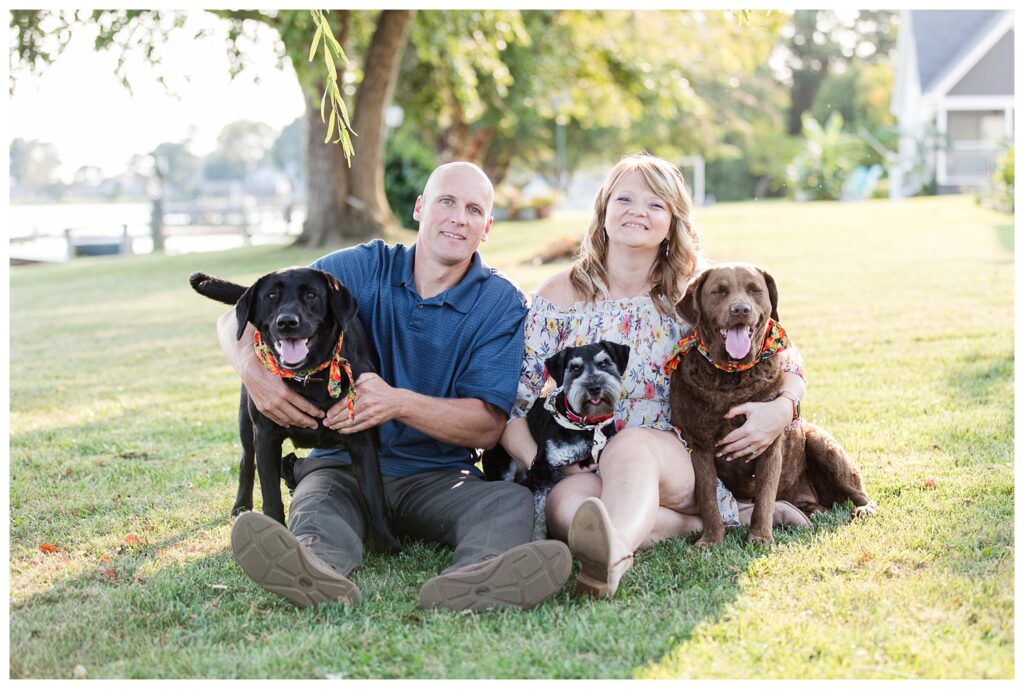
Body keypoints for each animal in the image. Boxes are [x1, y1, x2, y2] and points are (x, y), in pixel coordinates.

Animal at [190, 268, 401, 552]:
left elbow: (375, 498)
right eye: (271, 296)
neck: (309, 376)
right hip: (246, 423)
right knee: (246, 462)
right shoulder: (266, 437)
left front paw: (389, 545)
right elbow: (271, 498)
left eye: (311, 295)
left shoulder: (362, 439)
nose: (287, 322)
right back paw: (242, 505)